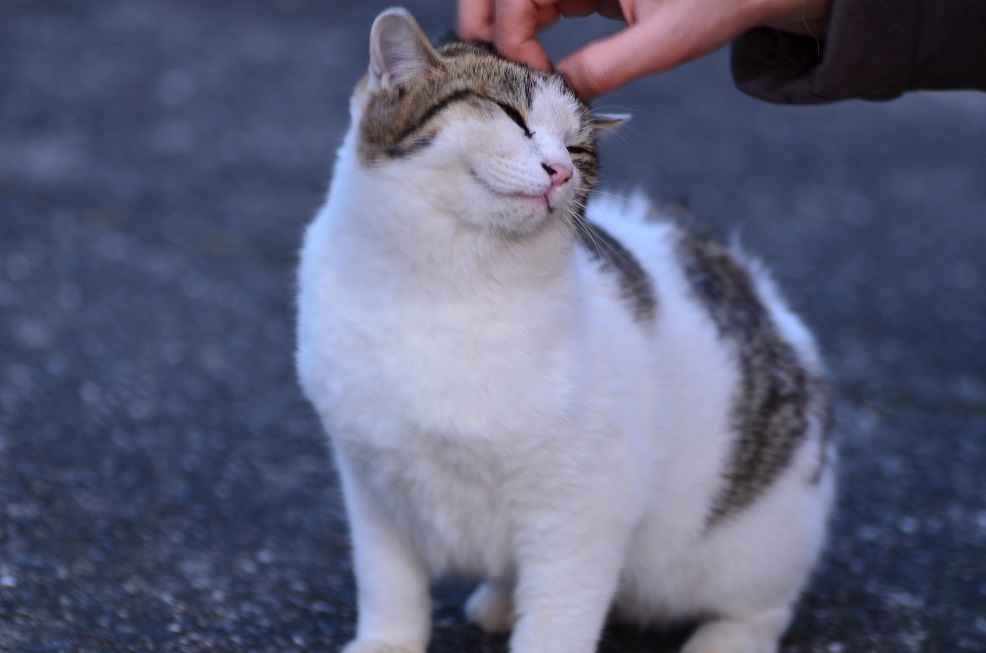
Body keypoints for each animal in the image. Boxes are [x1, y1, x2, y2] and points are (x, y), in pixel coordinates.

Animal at [296, 8, 836, 652]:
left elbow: (558, 619)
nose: (559, 170)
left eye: (579, 148)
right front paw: (389, 641)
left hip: (757, 542)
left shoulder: (584, 513)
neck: (445, 285)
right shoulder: (372, 488)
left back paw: (723, 640)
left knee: (761, 607)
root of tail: (757, 290)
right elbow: (388, 581)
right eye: (512, 117)